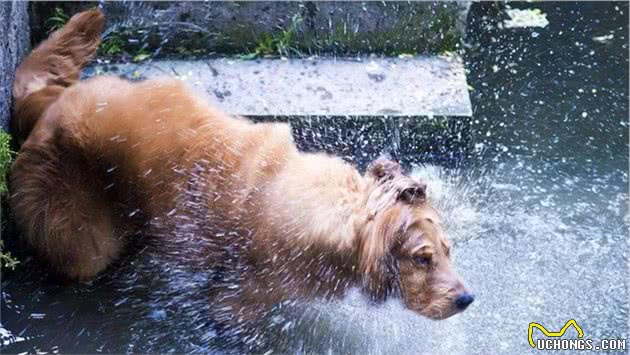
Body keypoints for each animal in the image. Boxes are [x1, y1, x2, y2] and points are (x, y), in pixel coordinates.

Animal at [9, 10, 474, 334]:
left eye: (449, 250)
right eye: (423, 258)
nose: (467, 299)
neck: (340, 215)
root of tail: (44, 107)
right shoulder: (233, 304)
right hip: (81, 236)